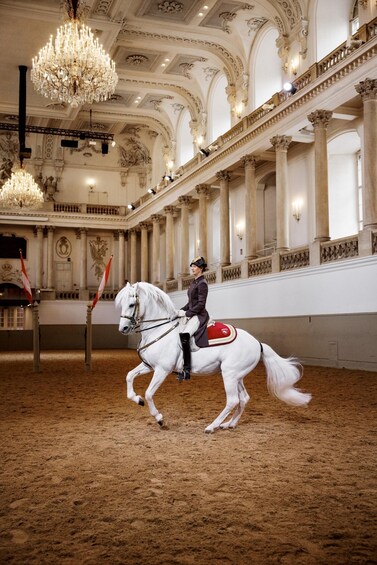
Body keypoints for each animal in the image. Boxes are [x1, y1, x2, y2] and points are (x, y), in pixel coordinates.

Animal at [115, 282, 312, 432]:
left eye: (131, 304)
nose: (123, 329)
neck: (159, 329)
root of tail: (258, 343)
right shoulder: (149, 365)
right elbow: (129, 376)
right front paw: (137, 399)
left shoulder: (162, 369)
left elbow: (149, 393)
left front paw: (159, 418)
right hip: (236, 375)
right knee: (243, 399)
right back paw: (229, 424)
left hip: (230, 374)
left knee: (233, 400)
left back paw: (212, 426)